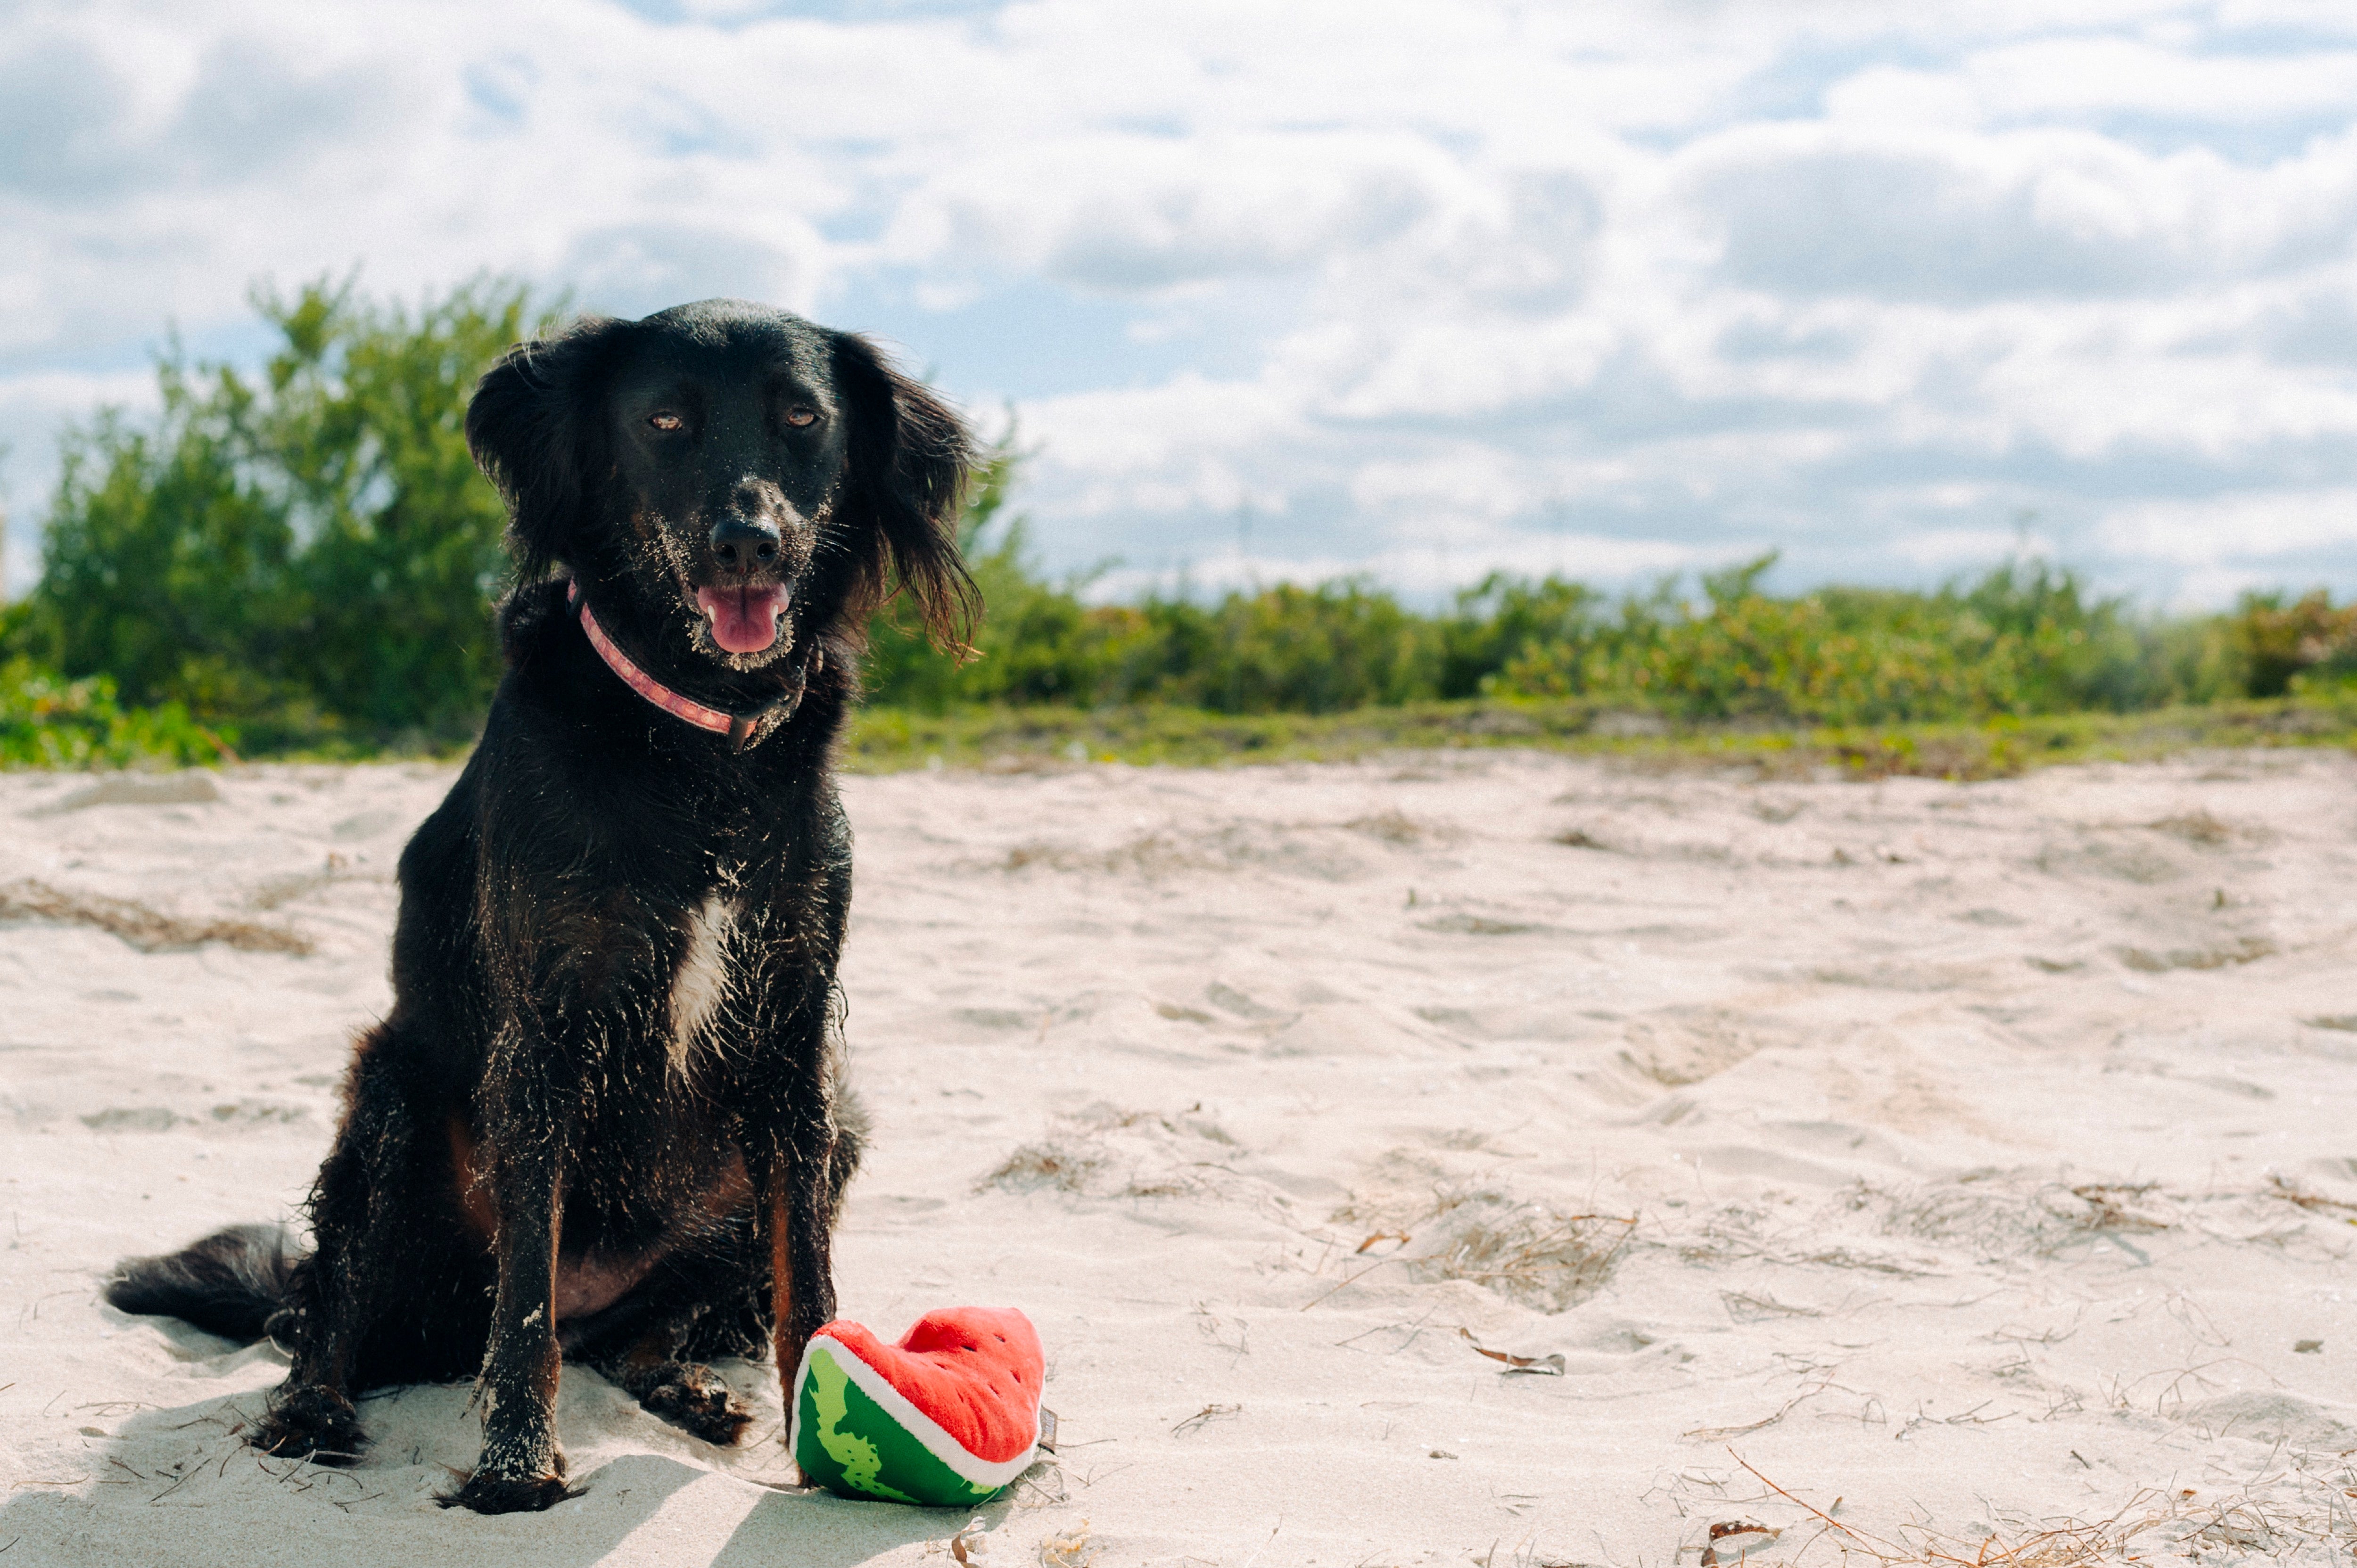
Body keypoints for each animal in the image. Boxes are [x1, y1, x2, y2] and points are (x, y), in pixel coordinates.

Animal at [108, 299, 976, 1509]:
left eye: (803, 418)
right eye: (664, 421)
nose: (748, 541)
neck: (694, 744)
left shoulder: (796, 1023)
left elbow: (806, 1269)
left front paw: (826, 1436)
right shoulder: (545, 1031)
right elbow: (523, 1300)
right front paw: (515, 1468)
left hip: (829, 1129)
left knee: (647, 1329)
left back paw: (686, 1386)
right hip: (393, 1090)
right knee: (334, 1306)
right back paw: (311, 1408)